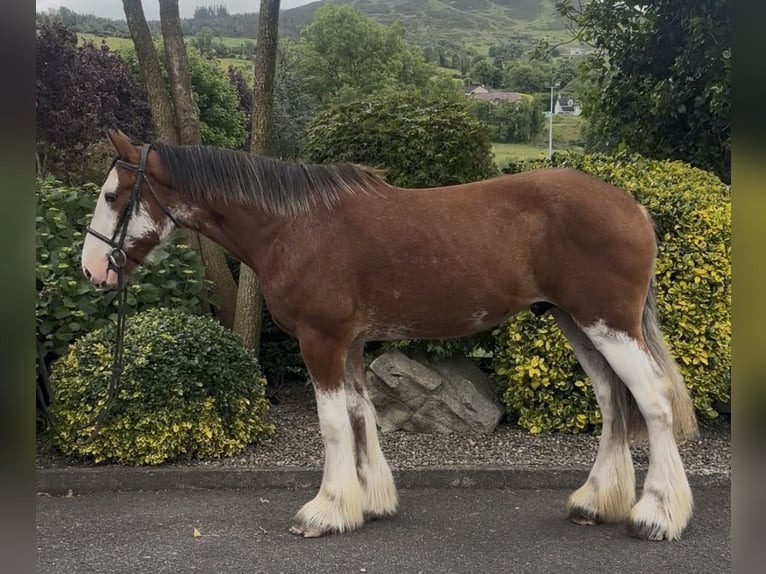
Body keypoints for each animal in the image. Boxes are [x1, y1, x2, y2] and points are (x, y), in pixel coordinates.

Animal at [81, 129, 698, 541]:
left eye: (112, 196)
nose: (91, 270)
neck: (293, 225)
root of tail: (633, 206)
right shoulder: (351, 343)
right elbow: (361, 415)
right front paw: (370, 501)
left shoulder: (322, 340)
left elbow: (333, 424)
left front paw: (326, 510)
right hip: (578, 324)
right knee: (613, 402)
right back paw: (595, 502)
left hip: (608, 324)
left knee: (653, 401)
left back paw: (656, 515)